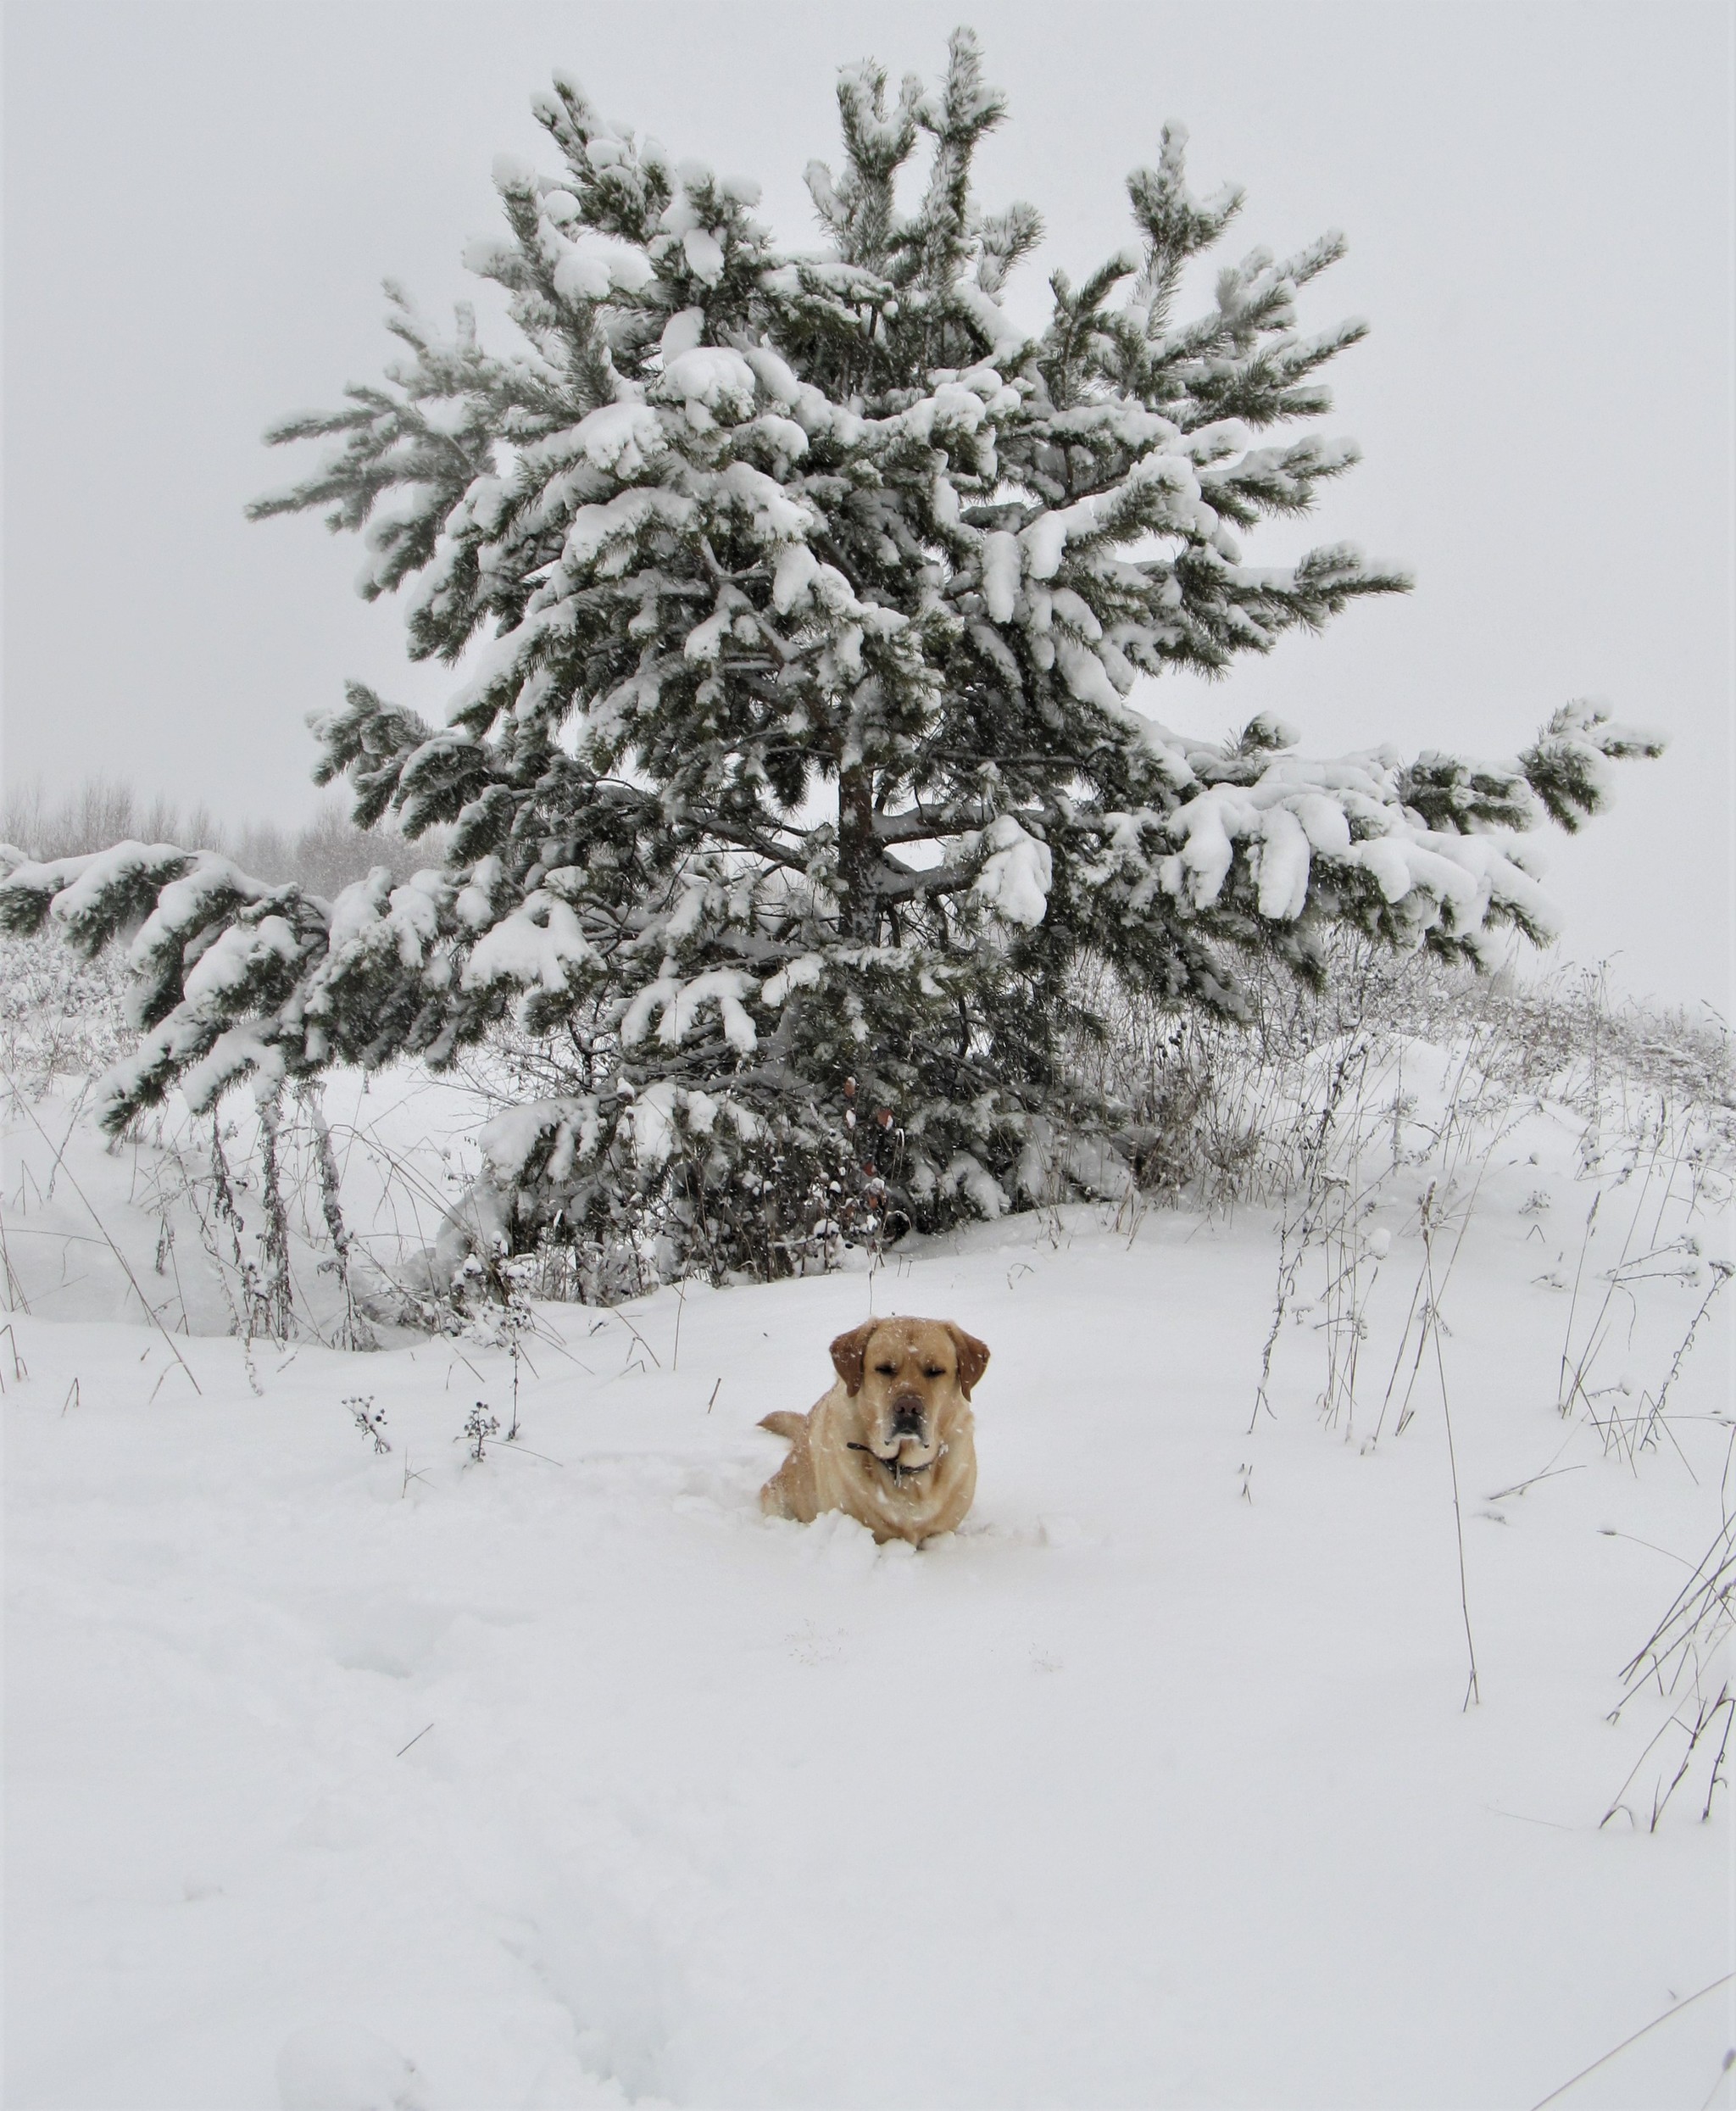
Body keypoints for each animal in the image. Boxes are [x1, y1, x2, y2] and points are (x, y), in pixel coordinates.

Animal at [760, 1308, 992, 1545]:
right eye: (884, 1369)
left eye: (935, 1371)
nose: (908, 1407)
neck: (903, 1470)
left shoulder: (942, 1533)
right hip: (776, 1498)